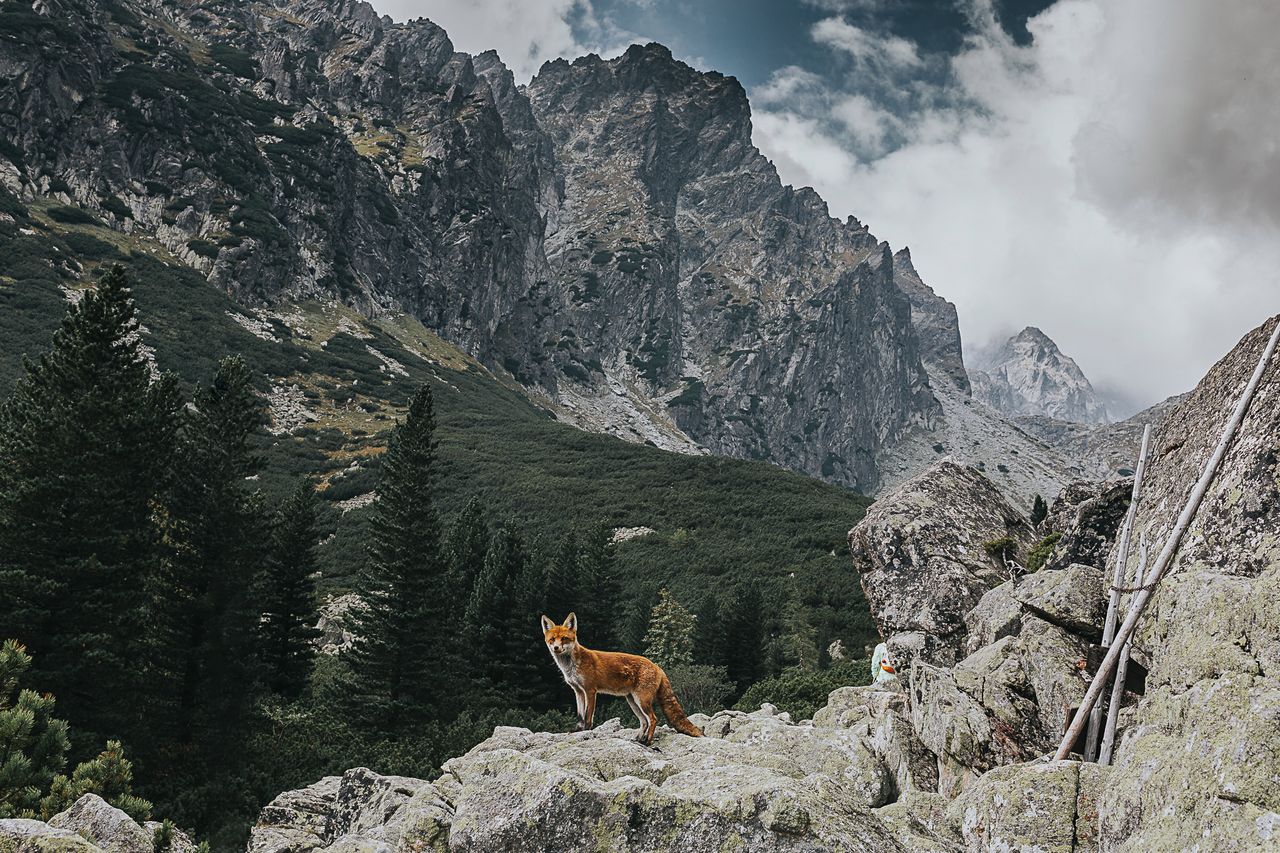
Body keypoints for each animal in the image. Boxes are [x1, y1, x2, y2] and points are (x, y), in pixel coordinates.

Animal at [537, 607, 706, 742]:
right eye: (552, 639)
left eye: (564, 639)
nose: (556, 648)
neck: (571, 666)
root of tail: (657, 667)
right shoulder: (578, 691)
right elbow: (580, 715)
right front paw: (577, 730)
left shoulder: (590, 690)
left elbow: (588, 716)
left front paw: (586, 731)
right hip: (632, 701)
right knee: (644, 722)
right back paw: (638, 739)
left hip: (642, 700)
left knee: (653, 719)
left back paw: (647, 741)